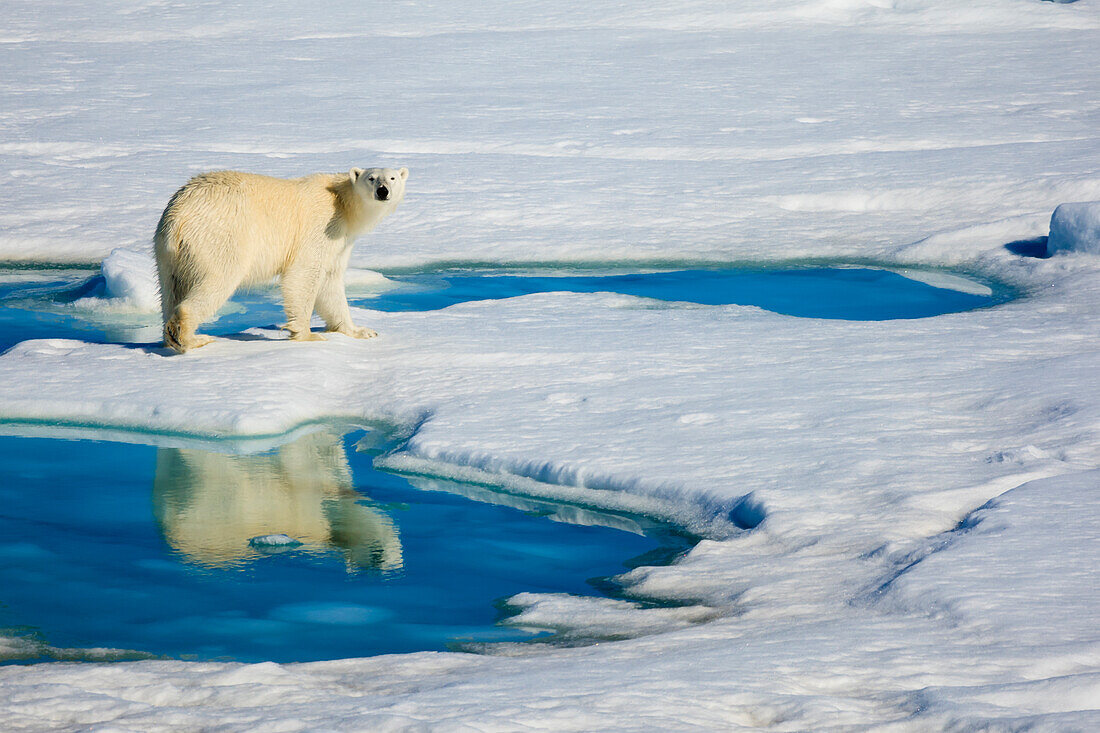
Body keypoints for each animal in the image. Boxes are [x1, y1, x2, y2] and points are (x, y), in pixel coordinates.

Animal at [155, 167, 409, 349]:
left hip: (167, 252)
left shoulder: (340, 243)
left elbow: (331, 282)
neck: (343, 204)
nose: (383, 191)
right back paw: (193, 338)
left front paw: (361, 331)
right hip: (219, 237)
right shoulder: (322, 227)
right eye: (371, 178)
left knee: (170, 289)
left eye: (393, 177)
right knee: (217, 279)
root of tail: (179, 213)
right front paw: (308, 335)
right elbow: (304, 274)